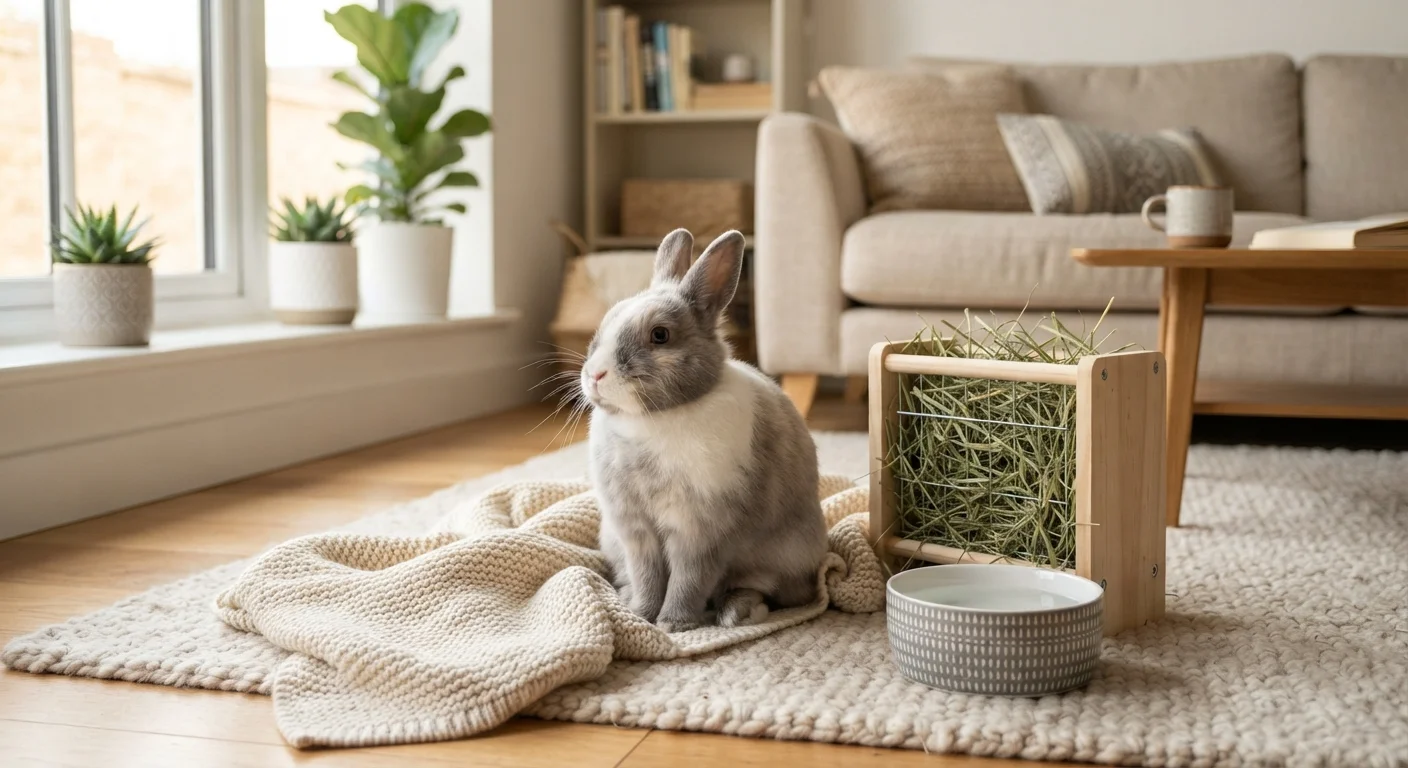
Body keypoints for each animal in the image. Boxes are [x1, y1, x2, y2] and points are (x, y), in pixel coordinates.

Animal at [580, 228, 829, 632]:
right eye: (604, 325)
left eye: (660, 335)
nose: (595, 375)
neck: (653, 418)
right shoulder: (635, 530)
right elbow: (647, 575)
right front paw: (641, 616)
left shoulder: (700, 530)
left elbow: (689, 578)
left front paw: (673, 625)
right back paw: (627, 596)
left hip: (782, 558)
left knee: (769, 591)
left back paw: (737, 612)